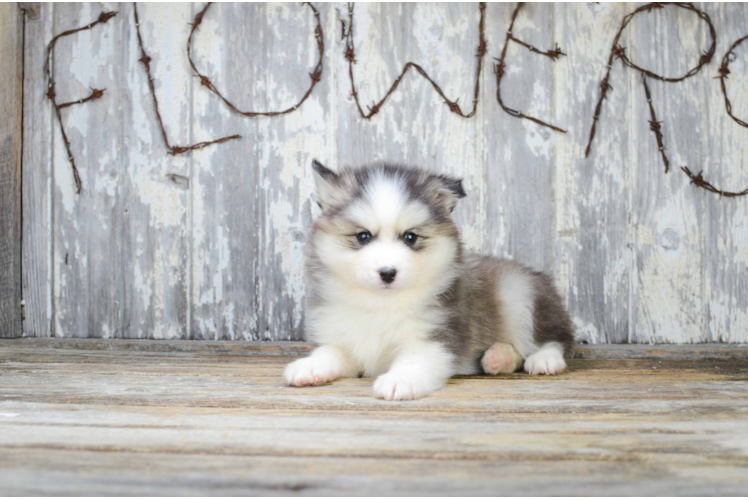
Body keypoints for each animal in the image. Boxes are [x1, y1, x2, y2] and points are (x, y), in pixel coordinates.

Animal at [284, 162, 576, 400]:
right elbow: (329, 353)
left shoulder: (435, 338)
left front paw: (398, 381)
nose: (387, 272)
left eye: (410, 237)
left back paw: (544, 360)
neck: (381, 305)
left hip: (520, 293)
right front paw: (308, 366)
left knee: (556, 338)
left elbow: (414, 362)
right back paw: (497, 358)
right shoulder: (345, 341)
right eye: (363, 236)